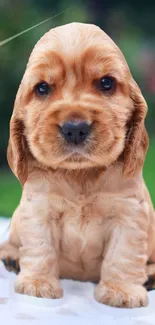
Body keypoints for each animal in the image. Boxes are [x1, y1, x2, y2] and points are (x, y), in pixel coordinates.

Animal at [0, 22, 155, 306]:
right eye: (42, 88)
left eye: (106, 83)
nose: (75, 128)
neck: (80, 174)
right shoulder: (39, 209)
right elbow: (40, 247)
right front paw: (37, 284)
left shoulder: (128, 213)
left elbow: (122, 254)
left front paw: (121, 291)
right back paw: (12, 258)